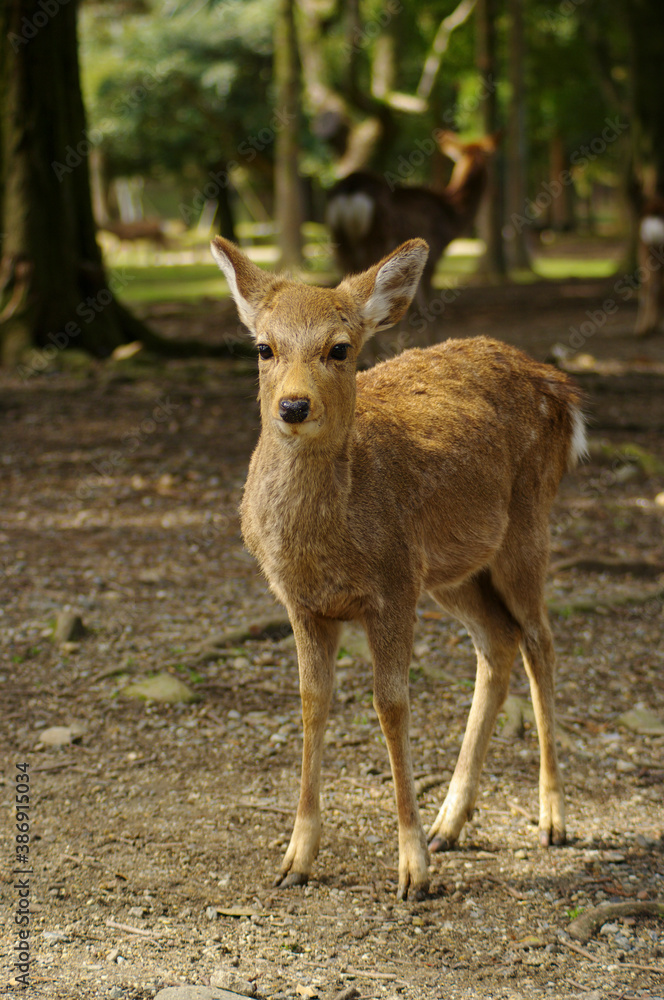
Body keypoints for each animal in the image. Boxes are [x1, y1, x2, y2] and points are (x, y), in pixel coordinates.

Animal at [210, 234, 587, 901]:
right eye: (263, 347)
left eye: (340, 348)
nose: (293, 405)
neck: (324, 547)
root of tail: (562, 390)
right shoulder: (302, 602)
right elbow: (312, 700)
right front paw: (295, 858)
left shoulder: (390, 586)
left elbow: (391, 705)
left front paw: (412, 870)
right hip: (454, 571)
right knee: (499, 641)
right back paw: (450, 823)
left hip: (525, 528)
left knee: (540, 640)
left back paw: (552, 818)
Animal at [326, 132, 498, 310]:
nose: (494, 191)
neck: (451, 216)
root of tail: (350, 190)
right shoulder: (433, 252)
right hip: (376, 239)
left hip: (340, 241)